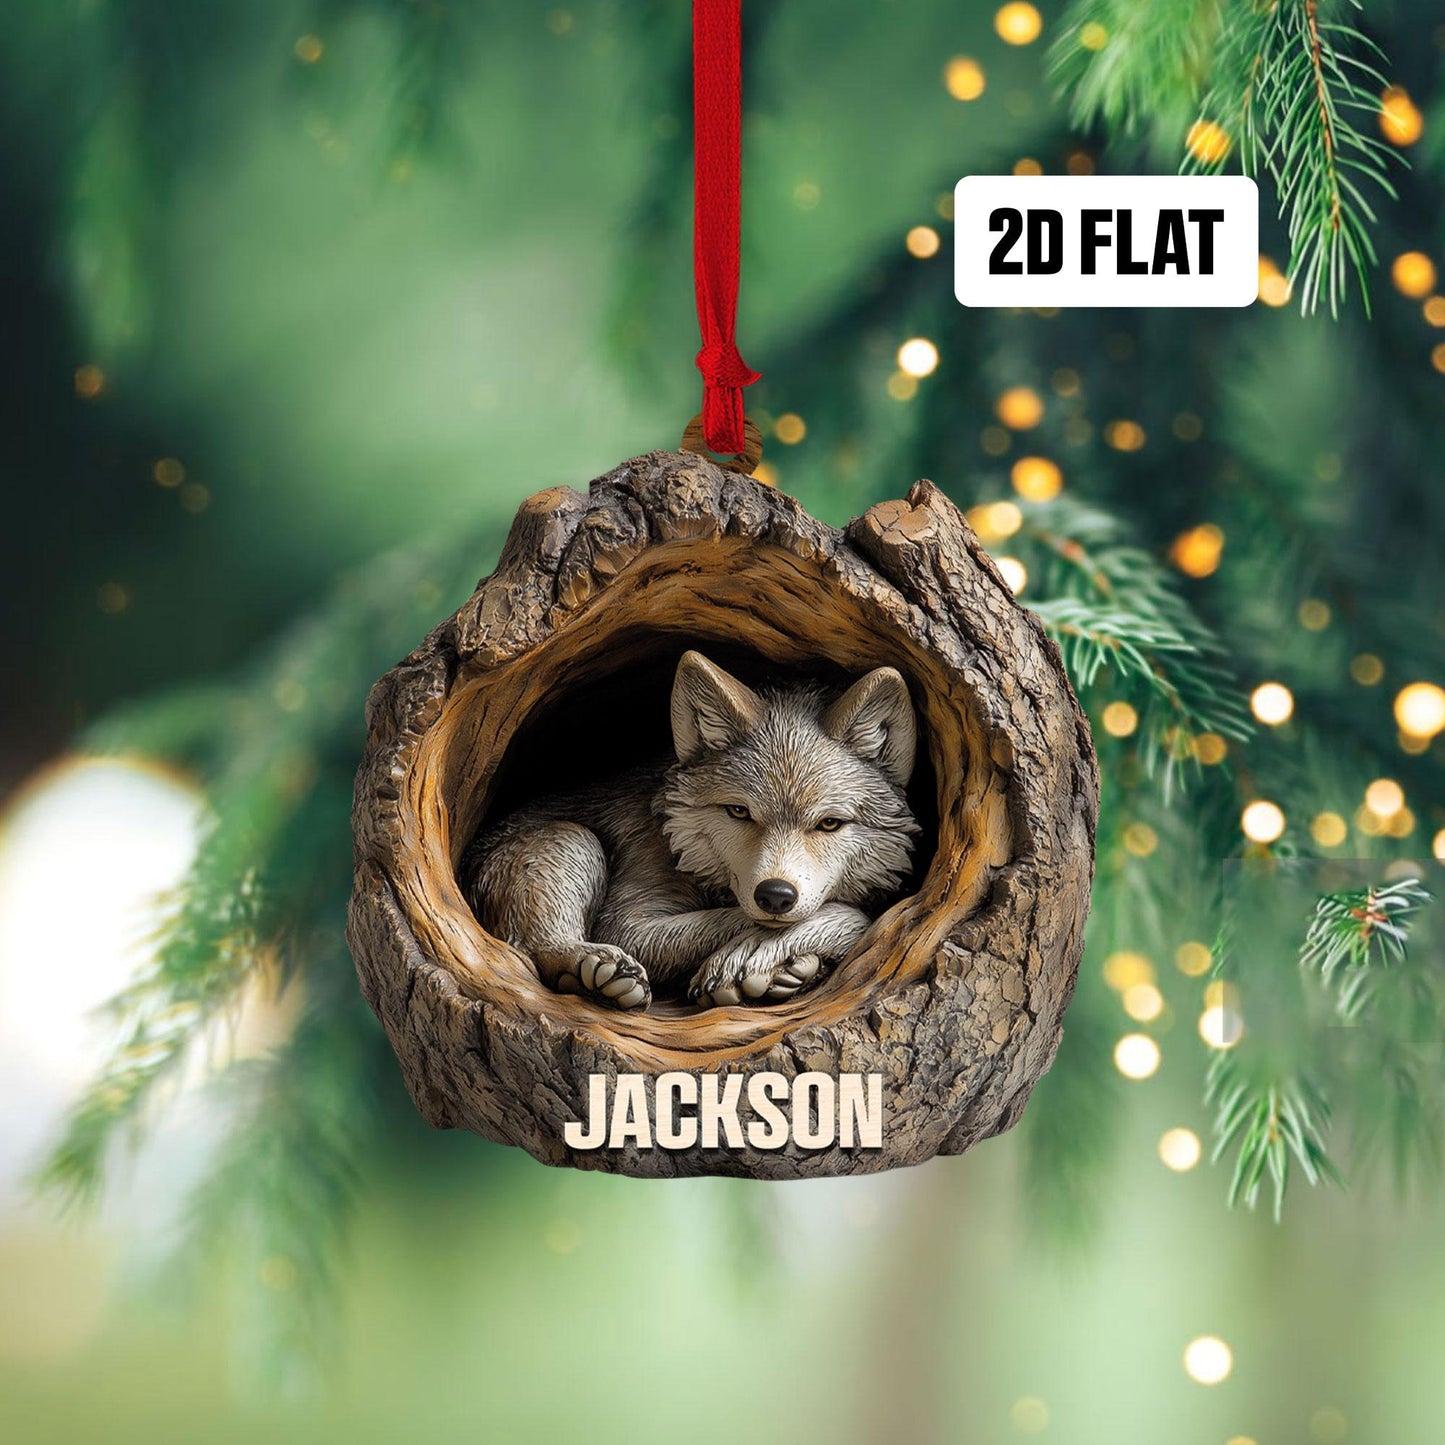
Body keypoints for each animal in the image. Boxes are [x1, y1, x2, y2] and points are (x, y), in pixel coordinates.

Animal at [462, 651, 921, 1010]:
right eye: (739, 811)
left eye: (829, 823)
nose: (775, 895)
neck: (681, 851)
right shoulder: (629, 926)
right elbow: (836, 915)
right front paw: (750, 954)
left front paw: (772, 963)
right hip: (571, 841)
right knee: (536, 949)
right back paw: (592, 971)